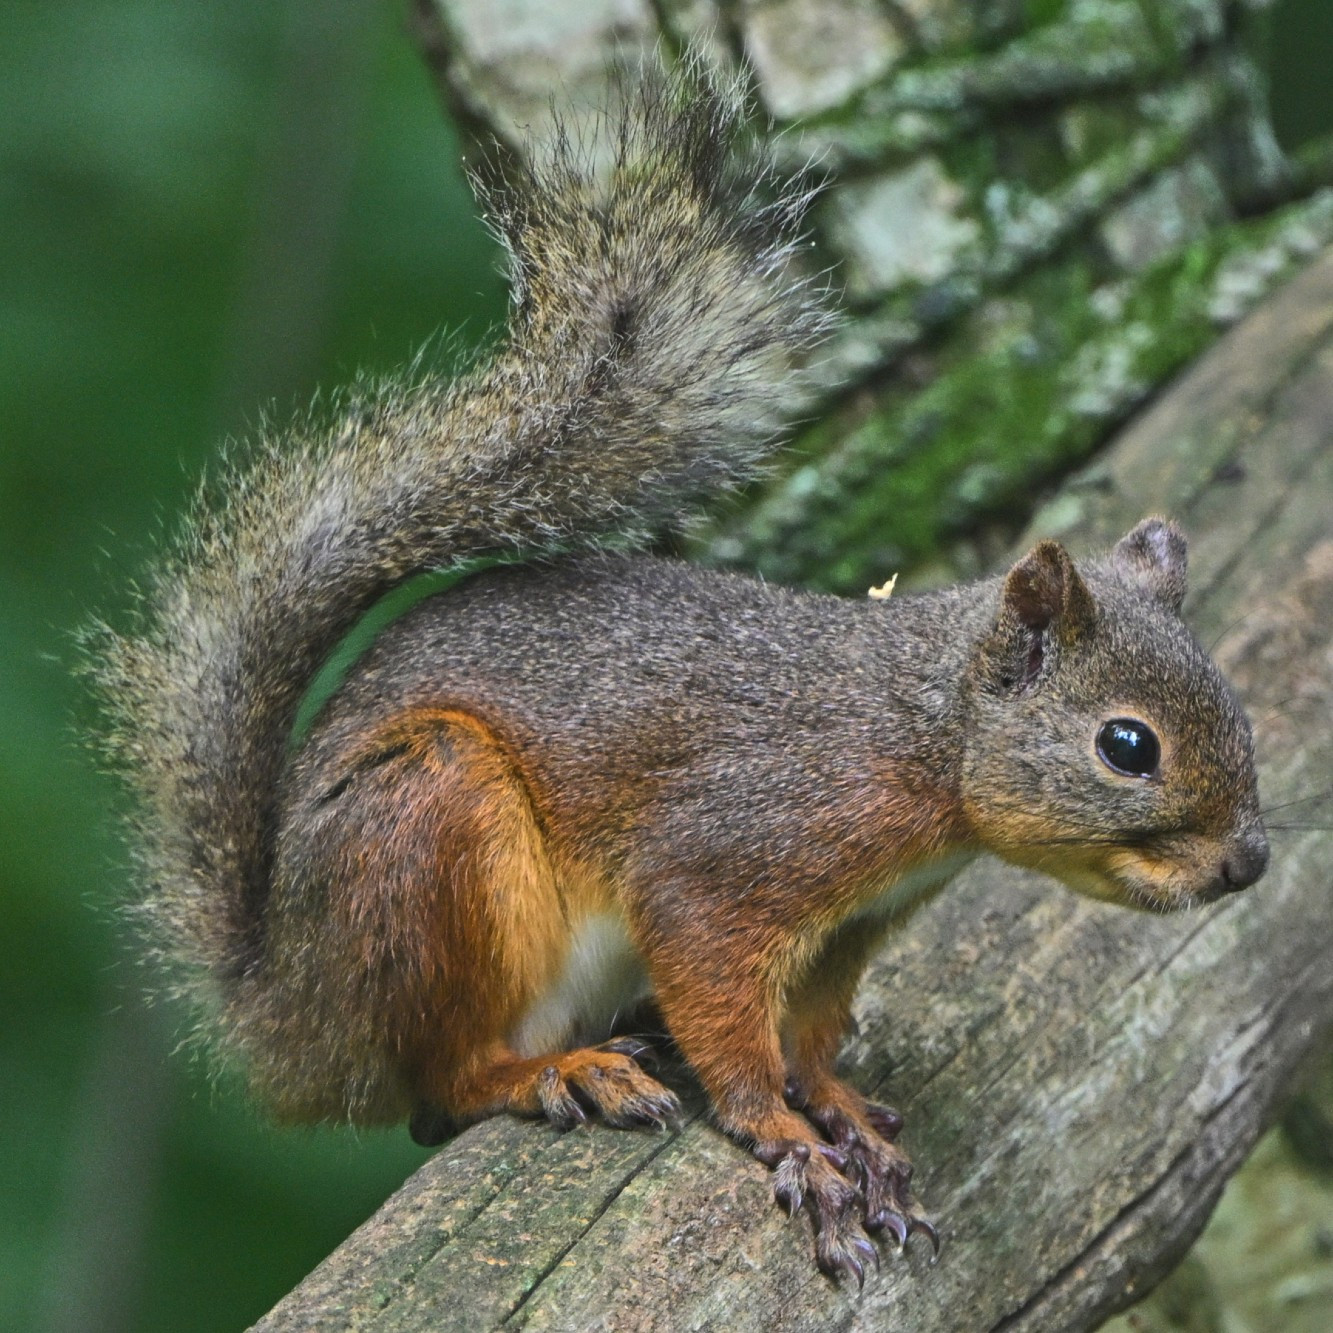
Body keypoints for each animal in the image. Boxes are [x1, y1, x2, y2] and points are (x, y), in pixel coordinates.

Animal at [91, 59, 1269, 1279]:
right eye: (1126, 745)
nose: (1248, 863)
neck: (920, 735)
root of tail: (285, 1010)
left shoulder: (850, 925)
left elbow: (810, 1028)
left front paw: (840, 1106)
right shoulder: (729, 859)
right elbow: (724, 1013)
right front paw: (783, 1133)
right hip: (428, 828)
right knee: (446, 1079)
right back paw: (553, 1072)